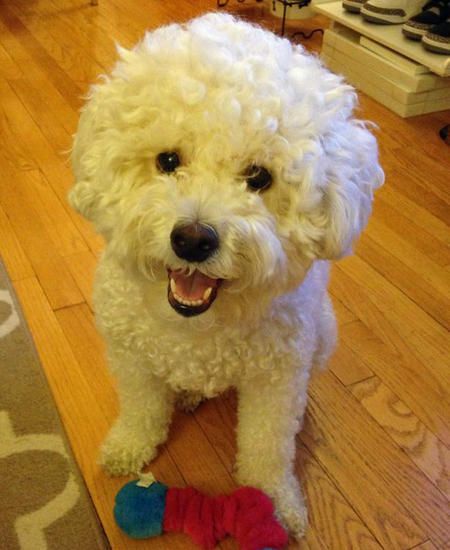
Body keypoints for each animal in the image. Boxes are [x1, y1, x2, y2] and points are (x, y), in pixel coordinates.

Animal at [69, 11, 384, 540]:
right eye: (168, 161)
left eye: (258, 177)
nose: (193, 239)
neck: (200, 327)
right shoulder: (131, 356)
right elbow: (141, 408)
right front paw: (127, 448)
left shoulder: (275, 379)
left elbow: (267, 447)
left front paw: (277, 502)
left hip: (322, 335)